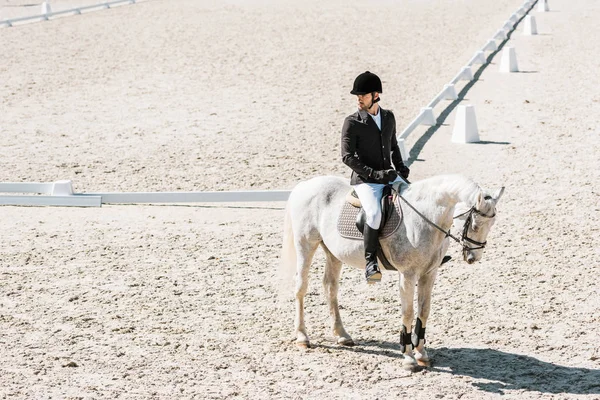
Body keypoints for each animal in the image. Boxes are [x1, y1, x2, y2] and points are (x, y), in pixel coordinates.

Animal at [280, 173, 502, 370]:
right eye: (474, 224)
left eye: (492, 224)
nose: (473, 257)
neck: (425, 216)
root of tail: (305, 185)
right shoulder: (408, 274)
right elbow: (408, 312)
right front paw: (409, 358)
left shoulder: (429, 274)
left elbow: (424, 311)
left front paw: (422, 354)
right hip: (305, 244)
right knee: (301, 287)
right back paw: (302, 337)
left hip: (333, 252)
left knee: (330, 287)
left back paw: (342, 335)